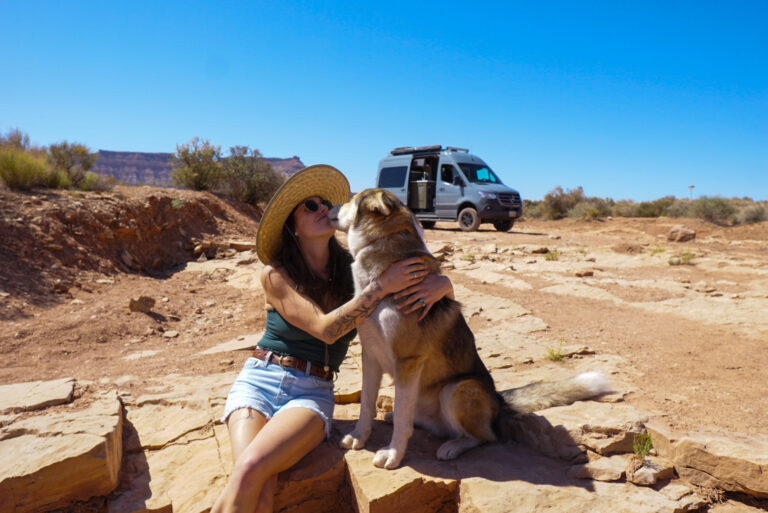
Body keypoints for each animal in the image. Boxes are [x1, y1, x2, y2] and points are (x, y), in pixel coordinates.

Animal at [328, 189, 608, 468]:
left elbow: (400, 419)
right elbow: (366, 404)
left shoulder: (408, 362)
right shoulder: (371, 354)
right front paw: (358, 437)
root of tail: (499, 401)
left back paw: (452, 446)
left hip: (455, 390)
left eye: (351, 200)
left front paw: (393, 454)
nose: (329, 206)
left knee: (483, 436)